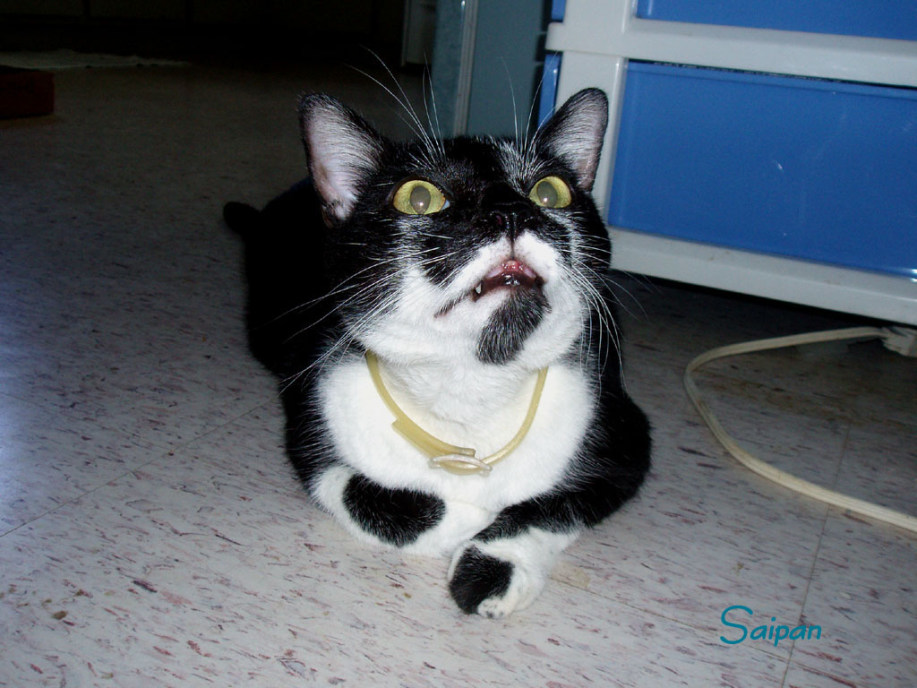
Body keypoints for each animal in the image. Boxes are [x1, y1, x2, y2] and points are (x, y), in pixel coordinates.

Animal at [223, 87, 651, 618]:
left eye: (550, 192)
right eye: (419, 197)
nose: (512, 212)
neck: (469, 388)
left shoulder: (623, 437)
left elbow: (550, 506)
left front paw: (493, 564)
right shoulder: (311, 428)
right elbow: (366, 496)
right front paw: (470, 518)